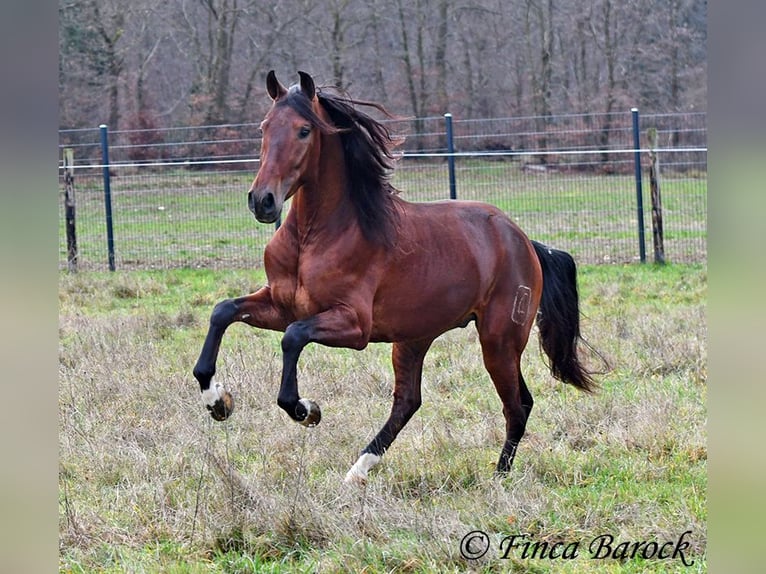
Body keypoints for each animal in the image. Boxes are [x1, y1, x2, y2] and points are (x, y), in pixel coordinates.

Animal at [193, 70, 596, 484]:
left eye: (304, 130)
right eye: (264, 127)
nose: (262, 201)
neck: (315, 238)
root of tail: (525, 242)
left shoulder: (353, 325)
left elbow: (293, 338)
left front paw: (306, 410)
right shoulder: (280, 304)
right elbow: (223, 312)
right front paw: (218, 401)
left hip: (499, 340)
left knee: (517, 405)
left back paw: (497, 478)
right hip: (415, 338)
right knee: (409, 402)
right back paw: (356, 473)